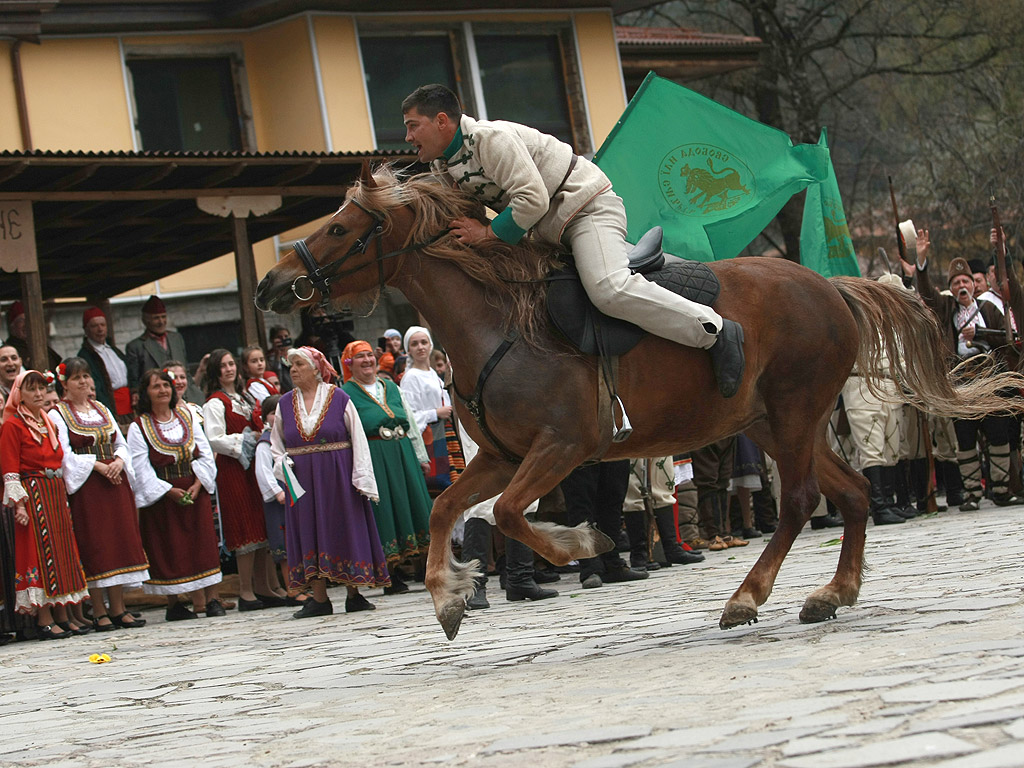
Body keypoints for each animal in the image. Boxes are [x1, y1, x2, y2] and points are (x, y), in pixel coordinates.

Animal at [256, 167, 1024, 643]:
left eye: (339, 227)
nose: (270, 283)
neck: (501, 320)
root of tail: (830, 287)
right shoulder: (501, 456)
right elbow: (451, 508)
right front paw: (450, 596)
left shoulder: (561, 446)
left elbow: (508, 515)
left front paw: (581, 544)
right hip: (781, 425)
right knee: (854, 494)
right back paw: (831, 593)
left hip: (793, 414)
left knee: (807, 500)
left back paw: (747, 597)